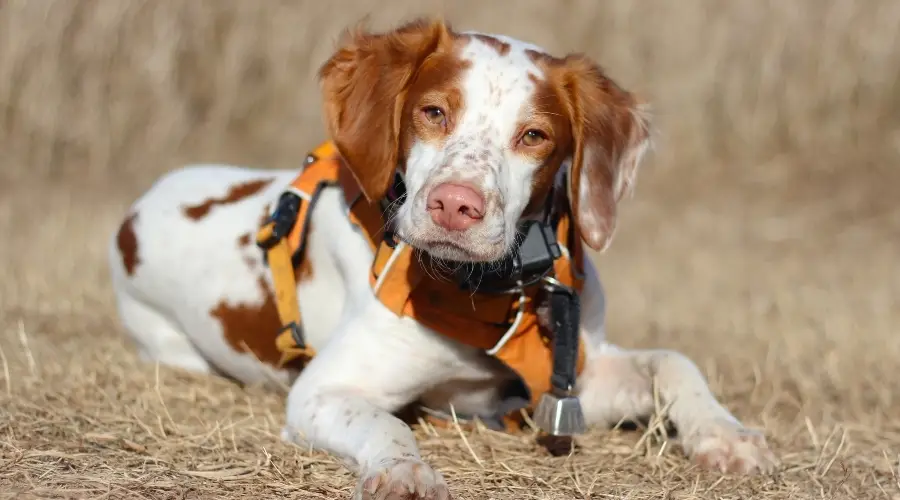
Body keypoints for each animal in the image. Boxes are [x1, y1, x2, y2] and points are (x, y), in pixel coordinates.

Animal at [109, 18, 776, 500]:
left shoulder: (573, 380)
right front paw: (405, 472)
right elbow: (386, 422)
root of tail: (138, 207)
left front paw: (726, 435)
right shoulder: (322, 390)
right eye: (433, 111)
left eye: (534, 135)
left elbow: (674, 363)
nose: (456, 205)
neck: (493, 291)